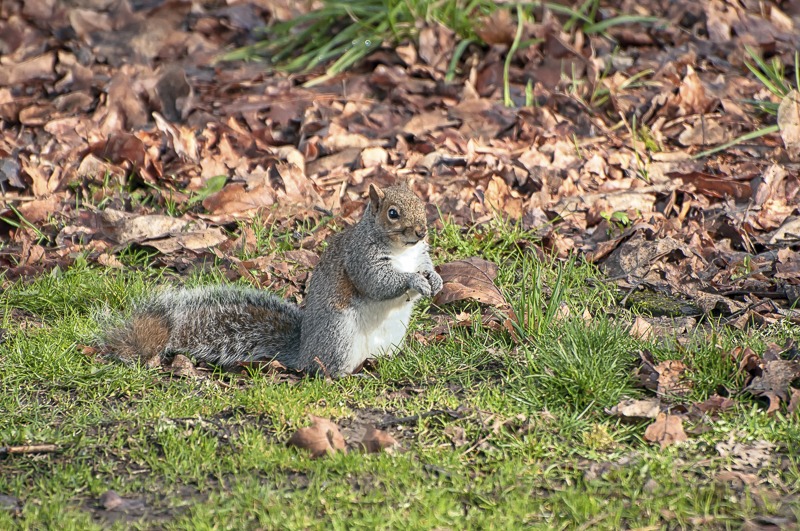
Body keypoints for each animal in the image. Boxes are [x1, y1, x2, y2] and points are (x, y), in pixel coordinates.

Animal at [101, 182, 444, 377]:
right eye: (393, 213)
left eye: (421, 203)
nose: (421, 231)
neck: (403, 250)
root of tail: (302, 353)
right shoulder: (361, 258)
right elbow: (378, 282)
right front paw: (414, 282)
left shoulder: (420, 255)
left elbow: (426, 265)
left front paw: (436, 279)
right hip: (339, 336)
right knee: (324, 371)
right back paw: (348, 375)